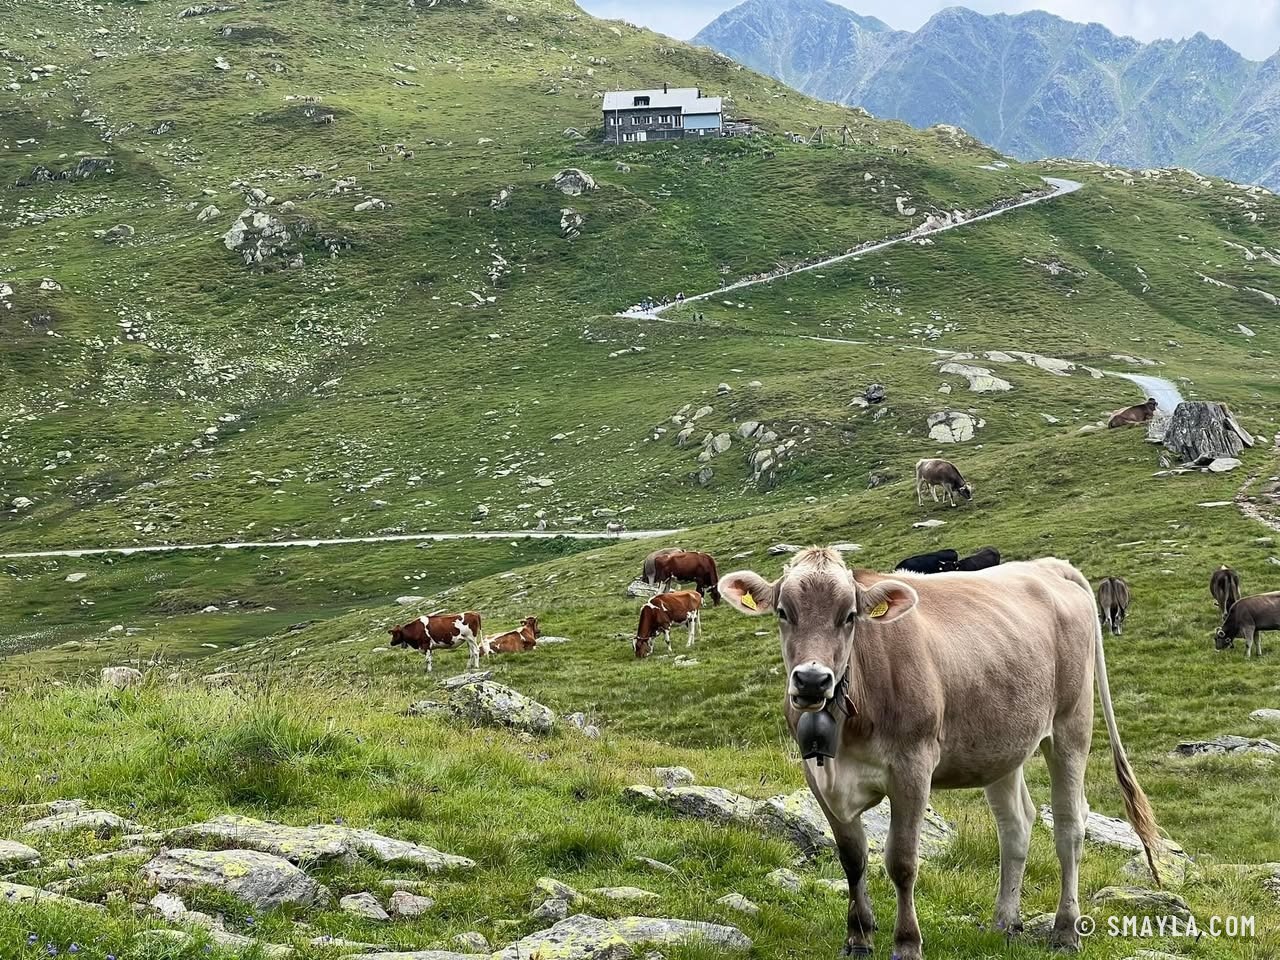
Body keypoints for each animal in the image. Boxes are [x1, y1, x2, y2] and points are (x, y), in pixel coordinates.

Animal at [717, 548, 1160, 960]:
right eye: (783, 612)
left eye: (850, 616)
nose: (812, 680)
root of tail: (1047, 566)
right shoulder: (820, 777)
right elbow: (852, 857)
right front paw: (858, 937)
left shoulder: (912, 769)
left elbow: (902, 861)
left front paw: (907, 942)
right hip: (1002, 742)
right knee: (1015, 824)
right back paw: (1004, 921)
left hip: (1072, 724)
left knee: (1069, 825)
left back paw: (1065, 930)